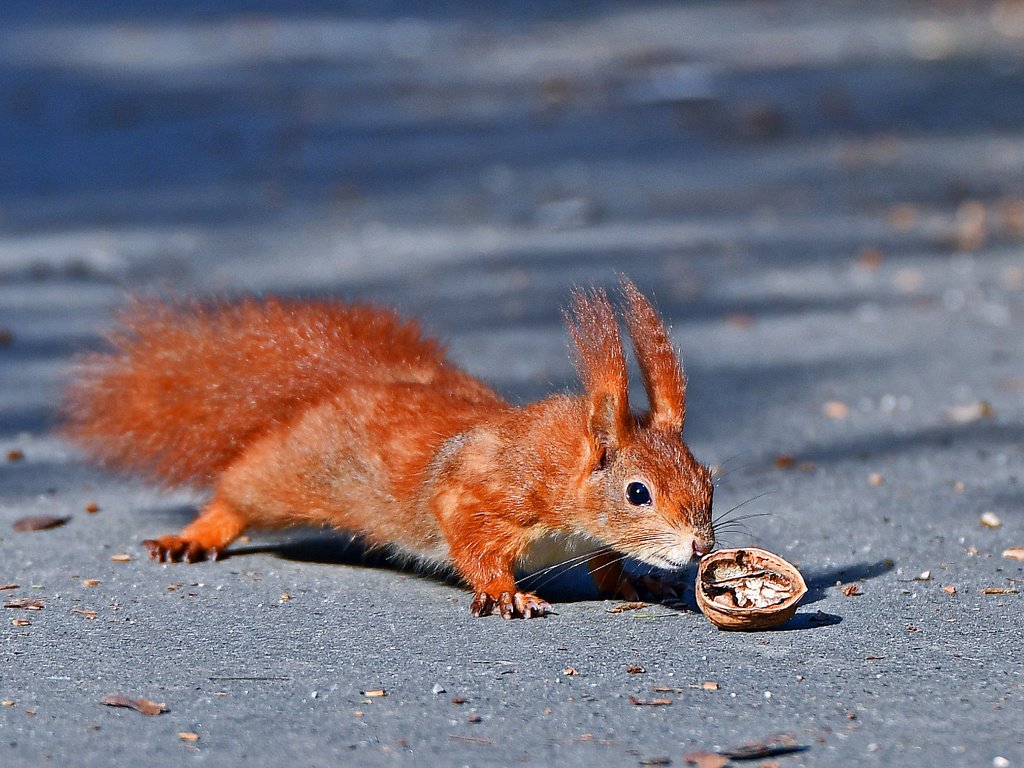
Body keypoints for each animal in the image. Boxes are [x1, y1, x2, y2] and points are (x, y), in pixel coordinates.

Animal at [64, 280, 716, 618]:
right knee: (236, 493)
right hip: (288, 475)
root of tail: (340, 388)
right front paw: (503, 592)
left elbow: (607, 566)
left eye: (709, 481)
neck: (560, 470)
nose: (701, 547)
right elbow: (471, 542)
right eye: (638, 492)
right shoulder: (478, 493)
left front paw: (639, 582)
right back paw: (195, 535)